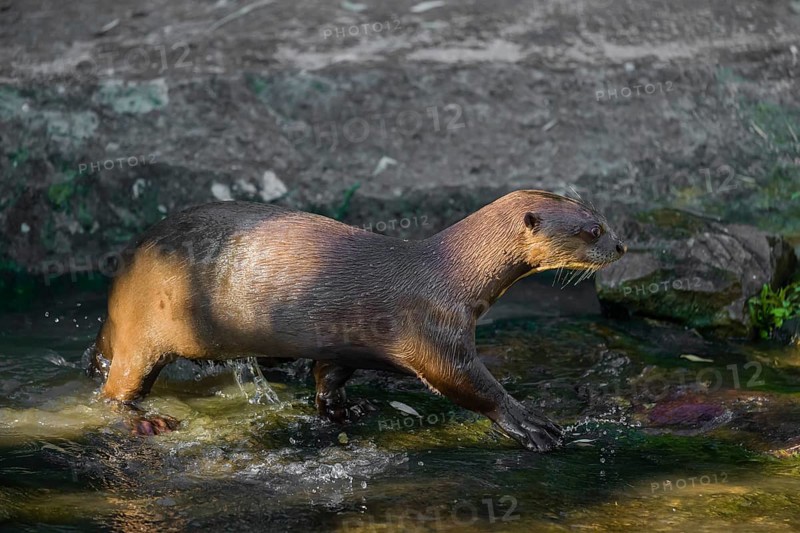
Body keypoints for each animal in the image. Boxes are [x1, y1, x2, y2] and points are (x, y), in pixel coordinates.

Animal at [89, 190, 626, 451]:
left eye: (605, 218)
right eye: (591, 229)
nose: (621, 245)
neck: (451, 275)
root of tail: (117, 285)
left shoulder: (343, 341)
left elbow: (329, 375)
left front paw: (343, 410)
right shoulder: (434, 330)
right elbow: (467, 383)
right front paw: (531, 423)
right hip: (146, 329)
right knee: (116, 390)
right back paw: (149, 420)